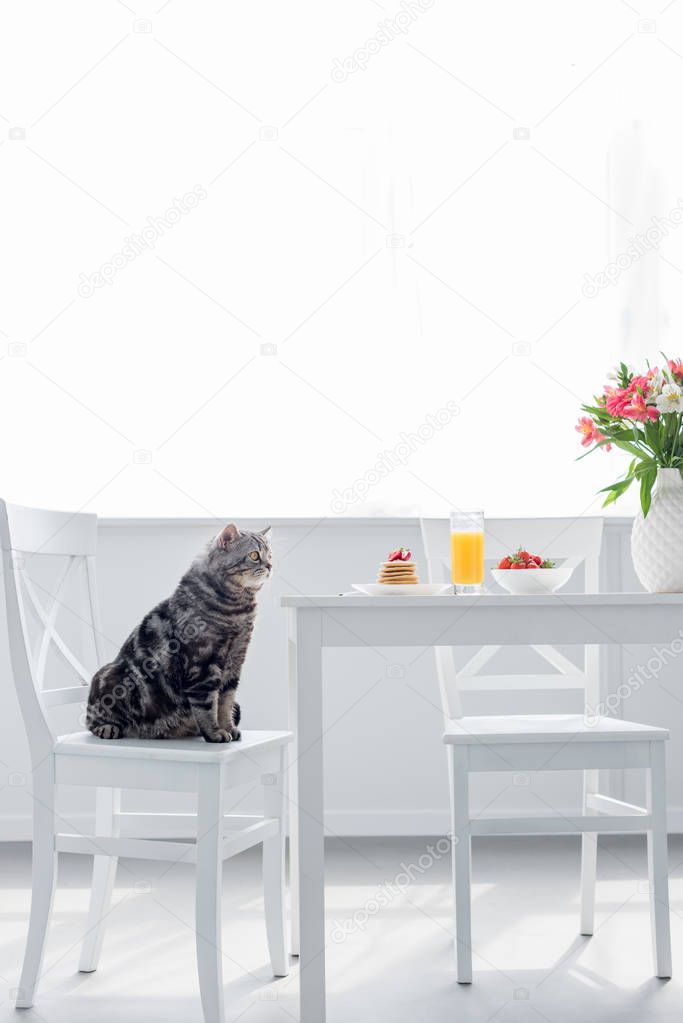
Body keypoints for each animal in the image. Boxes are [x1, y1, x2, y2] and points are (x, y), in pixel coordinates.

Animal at [87, 527, 271, 744]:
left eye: (270, 555)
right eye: (254, 555)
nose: (270, 566)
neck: (238, 608)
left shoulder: (235, 662)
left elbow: (225, 703)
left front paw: (228, 728)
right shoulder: (202, 667)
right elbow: (207, 706)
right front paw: (215, 733)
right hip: (108, 675)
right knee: (91, 721)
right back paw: (107, 728)